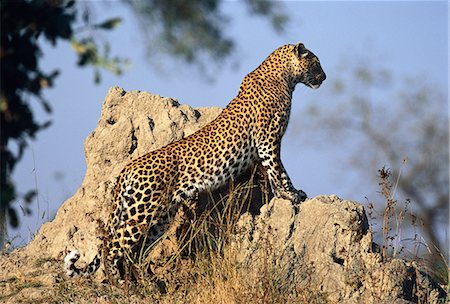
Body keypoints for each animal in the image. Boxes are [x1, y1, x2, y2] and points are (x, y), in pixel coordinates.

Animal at [64, 41, 324, 282]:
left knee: (135, 251)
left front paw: (287, 195)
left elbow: (277, 172)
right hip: (142, 210)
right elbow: (278, 171)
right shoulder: (268, 140)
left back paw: (145, 283)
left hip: (160, 216)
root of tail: (129, 167)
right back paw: (117, 282)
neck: (285, 78)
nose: (324, 77)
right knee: (112, 246)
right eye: (316, 62)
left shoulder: (268, 142)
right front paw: (290, 195)